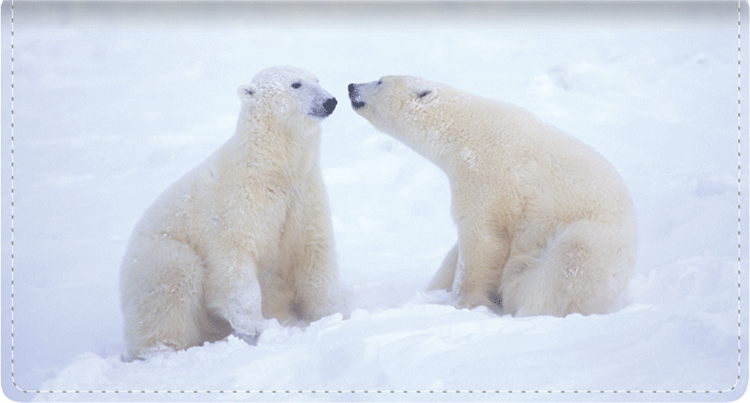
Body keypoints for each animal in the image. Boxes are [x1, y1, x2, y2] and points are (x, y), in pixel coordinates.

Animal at [122, 66, 346, 360]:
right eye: (296, 84)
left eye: (317, 80)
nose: (329, 101)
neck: (271, 168)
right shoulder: (235, 204)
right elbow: (234, 263)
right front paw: (259, 325)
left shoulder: (304, 196)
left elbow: (314, 252)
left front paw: (332, 317)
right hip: (154, 257)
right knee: (174, 281)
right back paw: (162, 351)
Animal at [350, 74, 636, 318]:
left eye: (380, 80)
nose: (352, 86)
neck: (465, 130)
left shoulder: (486, 178)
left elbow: (481, 240)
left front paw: (463, 303)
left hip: (594, 240)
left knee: (568, 267)